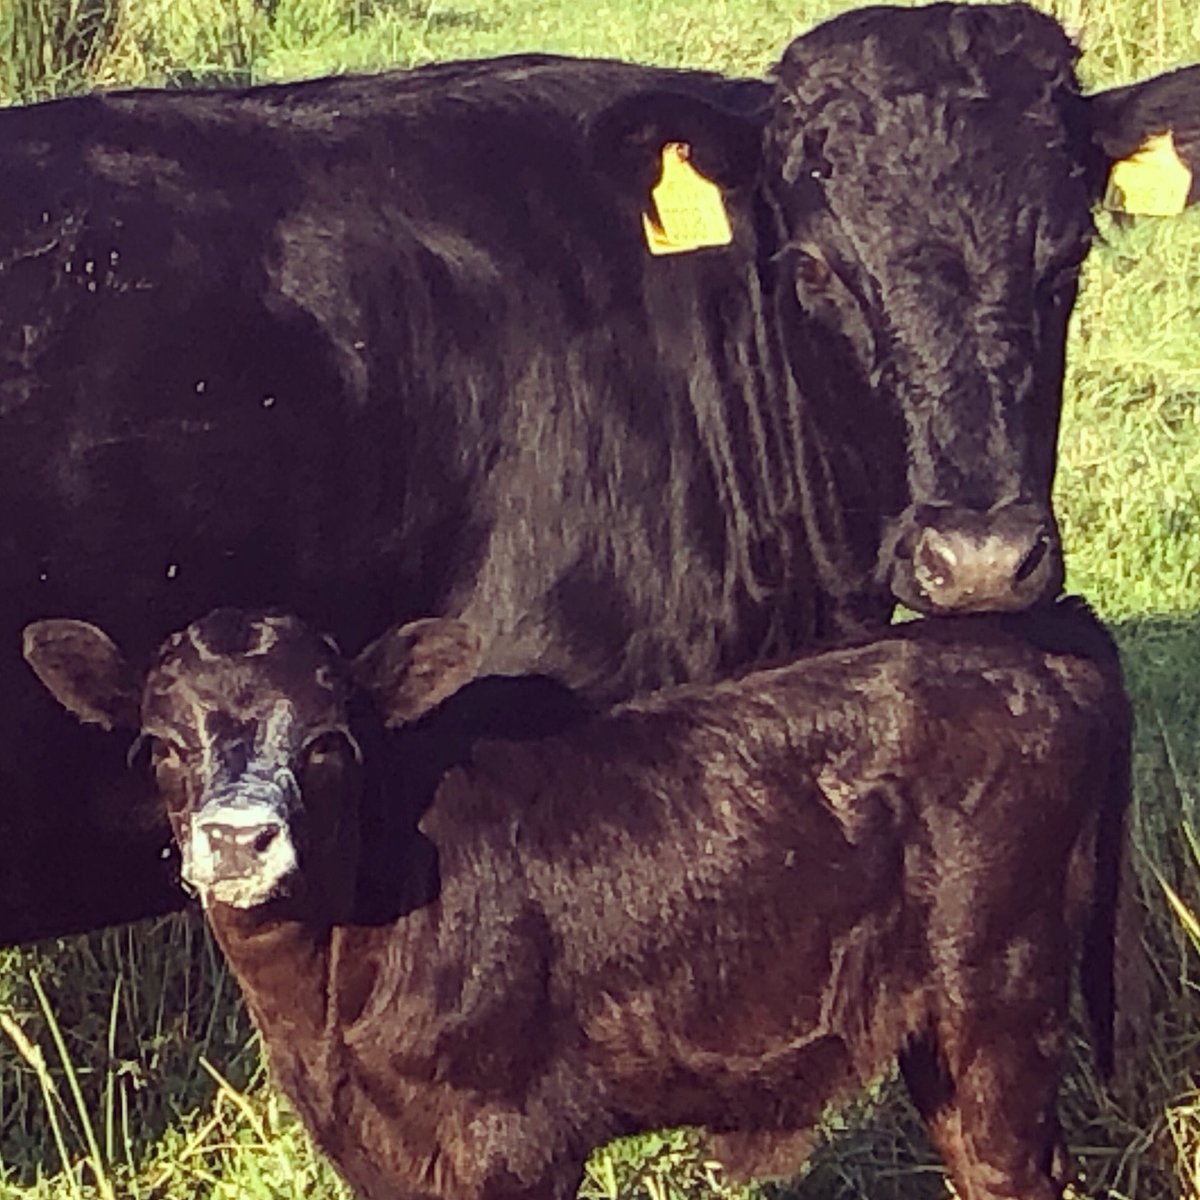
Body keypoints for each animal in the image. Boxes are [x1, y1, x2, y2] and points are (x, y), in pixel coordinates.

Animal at [22, 596, 1131, 1200]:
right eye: (160, 745)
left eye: (331, 743)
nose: (238, 839)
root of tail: (1030, 640)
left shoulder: (515, 1139)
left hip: (1003, 992)